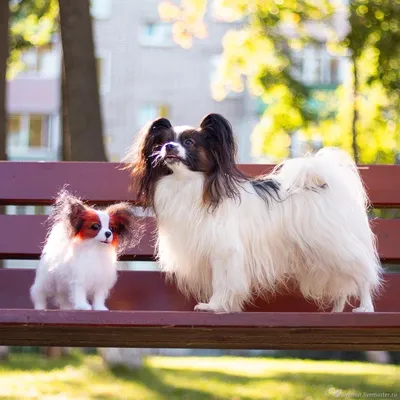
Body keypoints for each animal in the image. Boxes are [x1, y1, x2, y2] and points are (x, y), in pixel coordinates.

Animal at [126, 111, 382, 312]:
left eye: (189, 142)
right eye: (163, 142)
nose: (168, 147)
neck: (186, 184)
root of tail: (323, 182)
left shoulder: (224, 250)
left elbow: (222, 281)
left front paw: (215, 306)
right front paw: (220, 305)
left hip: (334, 245)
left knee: (362, 274)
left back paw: (365, 308)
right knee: (342, 284)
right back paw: (337, 311)